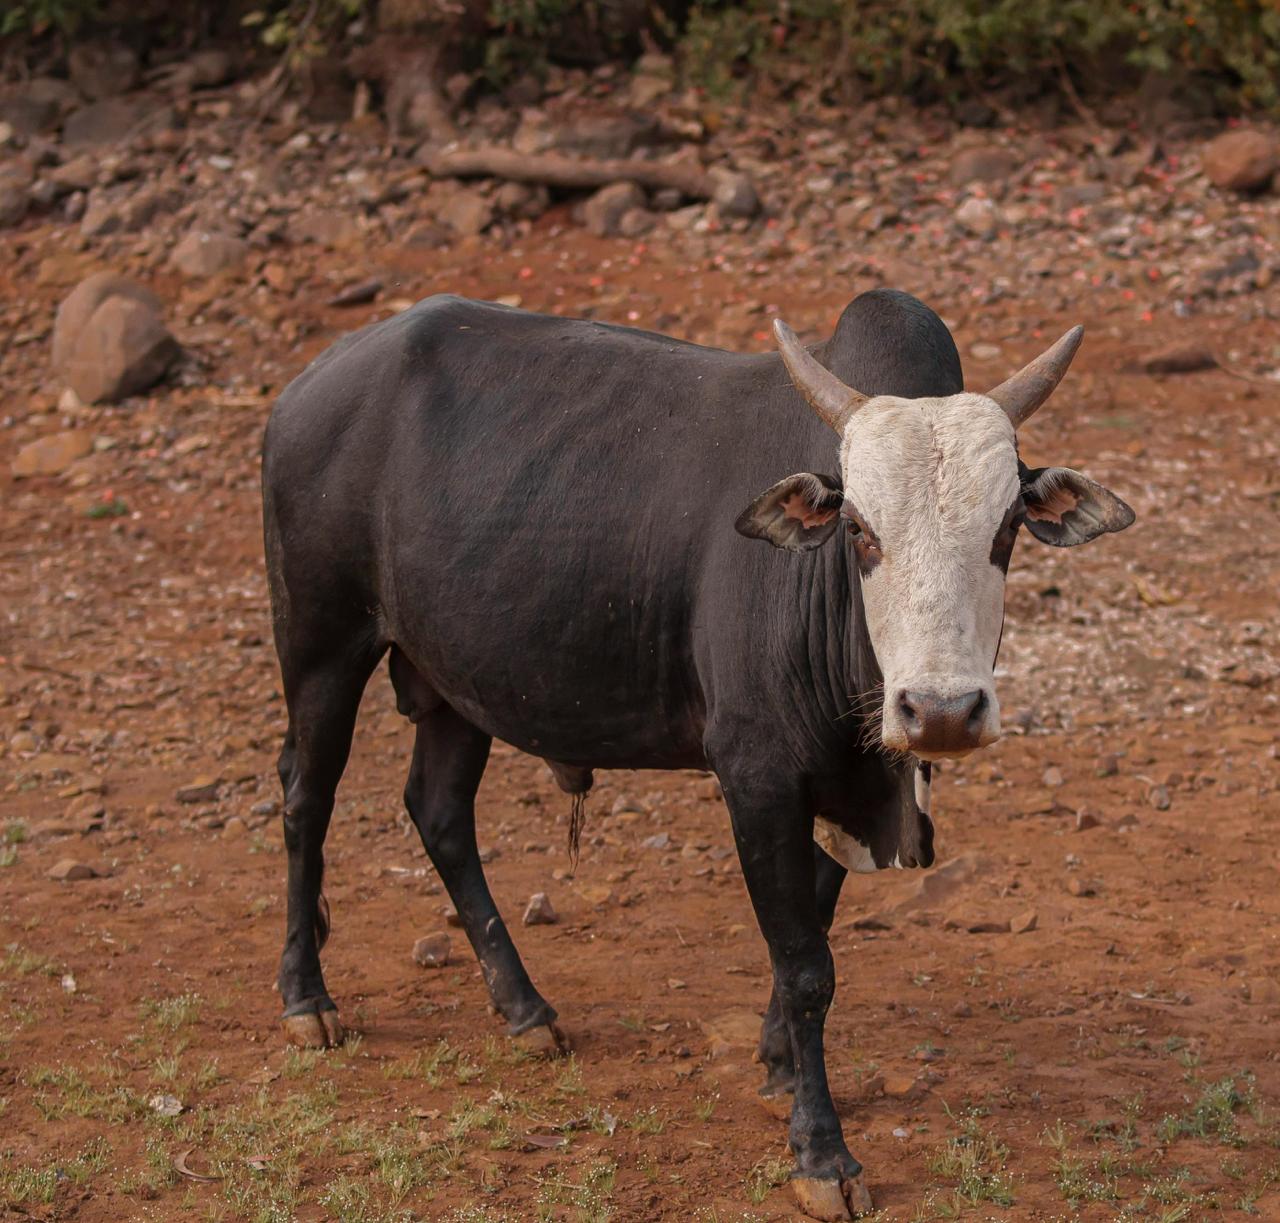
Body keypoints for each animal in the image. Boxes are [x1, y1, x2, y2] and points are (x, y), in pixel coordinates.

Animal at [261, 288, 1134, 1220]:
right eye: (859, 529)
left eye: (1007, 528)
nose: (939, 711)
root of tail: (310, 385)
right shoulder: (757, 778)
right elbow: (806, 965)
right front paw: (822, 1153)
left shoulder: (837, 785)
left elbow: (814, 928)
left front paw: (780, 1062)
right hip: (321, 645)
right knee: (306, 797)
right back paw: (307, 998)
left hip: (456, 681)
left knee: (439, 811)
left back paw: (524, 1007)